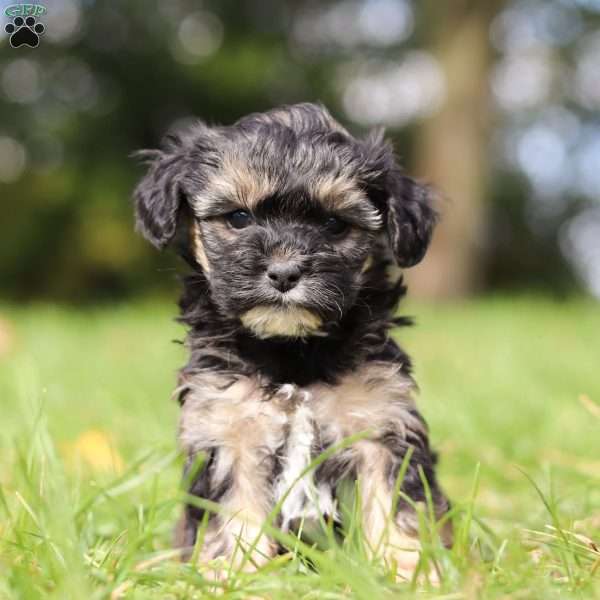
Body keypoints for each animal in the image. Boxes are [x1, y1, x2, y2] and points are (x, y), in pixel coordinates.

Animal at [132, 102, 450, 576]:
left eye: (334, 225)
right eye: (239, 217)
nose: (284, 273)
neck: (291, 351)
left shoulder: (380, 422)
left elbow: (395, 505)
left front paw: (410, 572)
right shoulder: (228, 430)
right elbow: (236, 512)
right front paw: (234, 573)